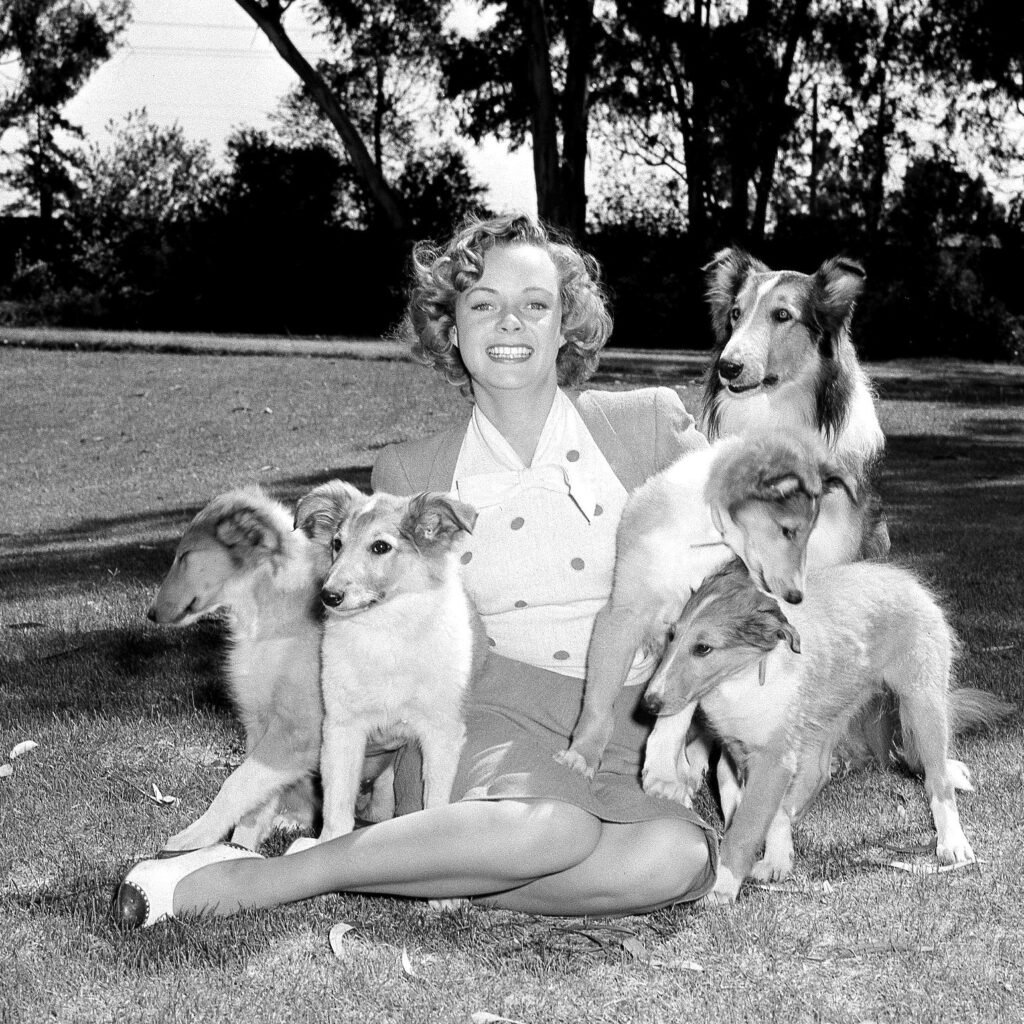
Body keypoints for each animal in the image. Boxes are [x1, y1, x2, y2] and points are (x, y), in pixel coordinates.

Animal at [149, 486, 398, 852]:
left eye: (185, 556)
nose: (150, 614)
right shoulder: (259, 725)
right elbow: (254, 802)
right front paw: (238, 850)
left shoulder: (298, 732)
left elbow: (236, 783)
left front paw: (193, 838)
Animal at [288, 481, 485, 847]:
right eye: (337, 543)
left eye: (380, 547)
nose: (327, 596)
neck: (385, 628)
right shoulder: (341, 728)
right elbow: (336, 808)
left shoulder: (442, 730)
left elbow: (434, 800)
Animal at [556, 430, 857, 797]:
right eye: (787, 530)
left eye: (806, 533)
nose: (796, 597)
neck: (700, 539)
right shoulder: (622, 616)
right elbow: (601, 700)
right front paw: (582, 756)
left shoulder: (700, 645)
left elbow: (675, 714)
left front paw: (663, 777)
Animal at [643, 558, 1013, 904]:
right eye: (672, 636)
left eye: (703, 648)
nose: (648, 703)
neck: (744, 678)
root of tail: (906, 580)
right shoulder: (743, 752)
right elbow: (759, 810)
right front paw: (773, 859)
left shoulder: (774, 761)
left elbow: (746, 826)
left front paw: (722, 887)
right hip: (825, 718)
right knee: (817, 775)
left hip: (922, 706)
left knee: (938, 781)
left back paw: (953, 844)